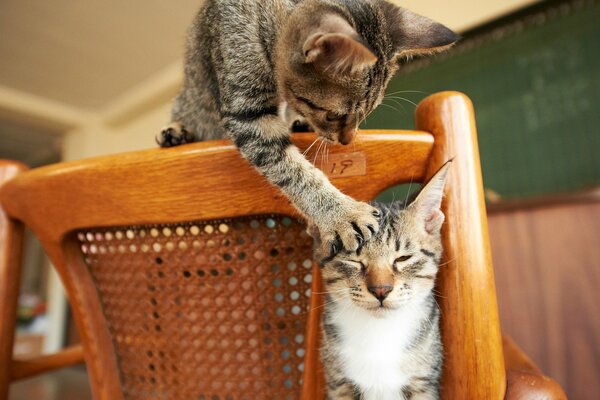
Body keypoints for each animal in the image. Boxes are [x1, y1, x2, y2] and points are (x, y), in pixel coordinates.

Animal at [157, 0, 458, 253]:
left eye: (366, 113)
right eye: (334, 115)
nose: (347, 141)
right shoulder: (247, 113)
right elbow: (294, 171)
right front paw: (341, 213)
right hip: (189, 101)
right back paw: (175, 132)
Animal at [310, 163, 450, 400]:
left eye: (403, 258)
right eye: (354, 260)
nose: (381, 290)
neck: (379, 332)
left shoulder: (423, 383)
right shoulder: (339, 384)